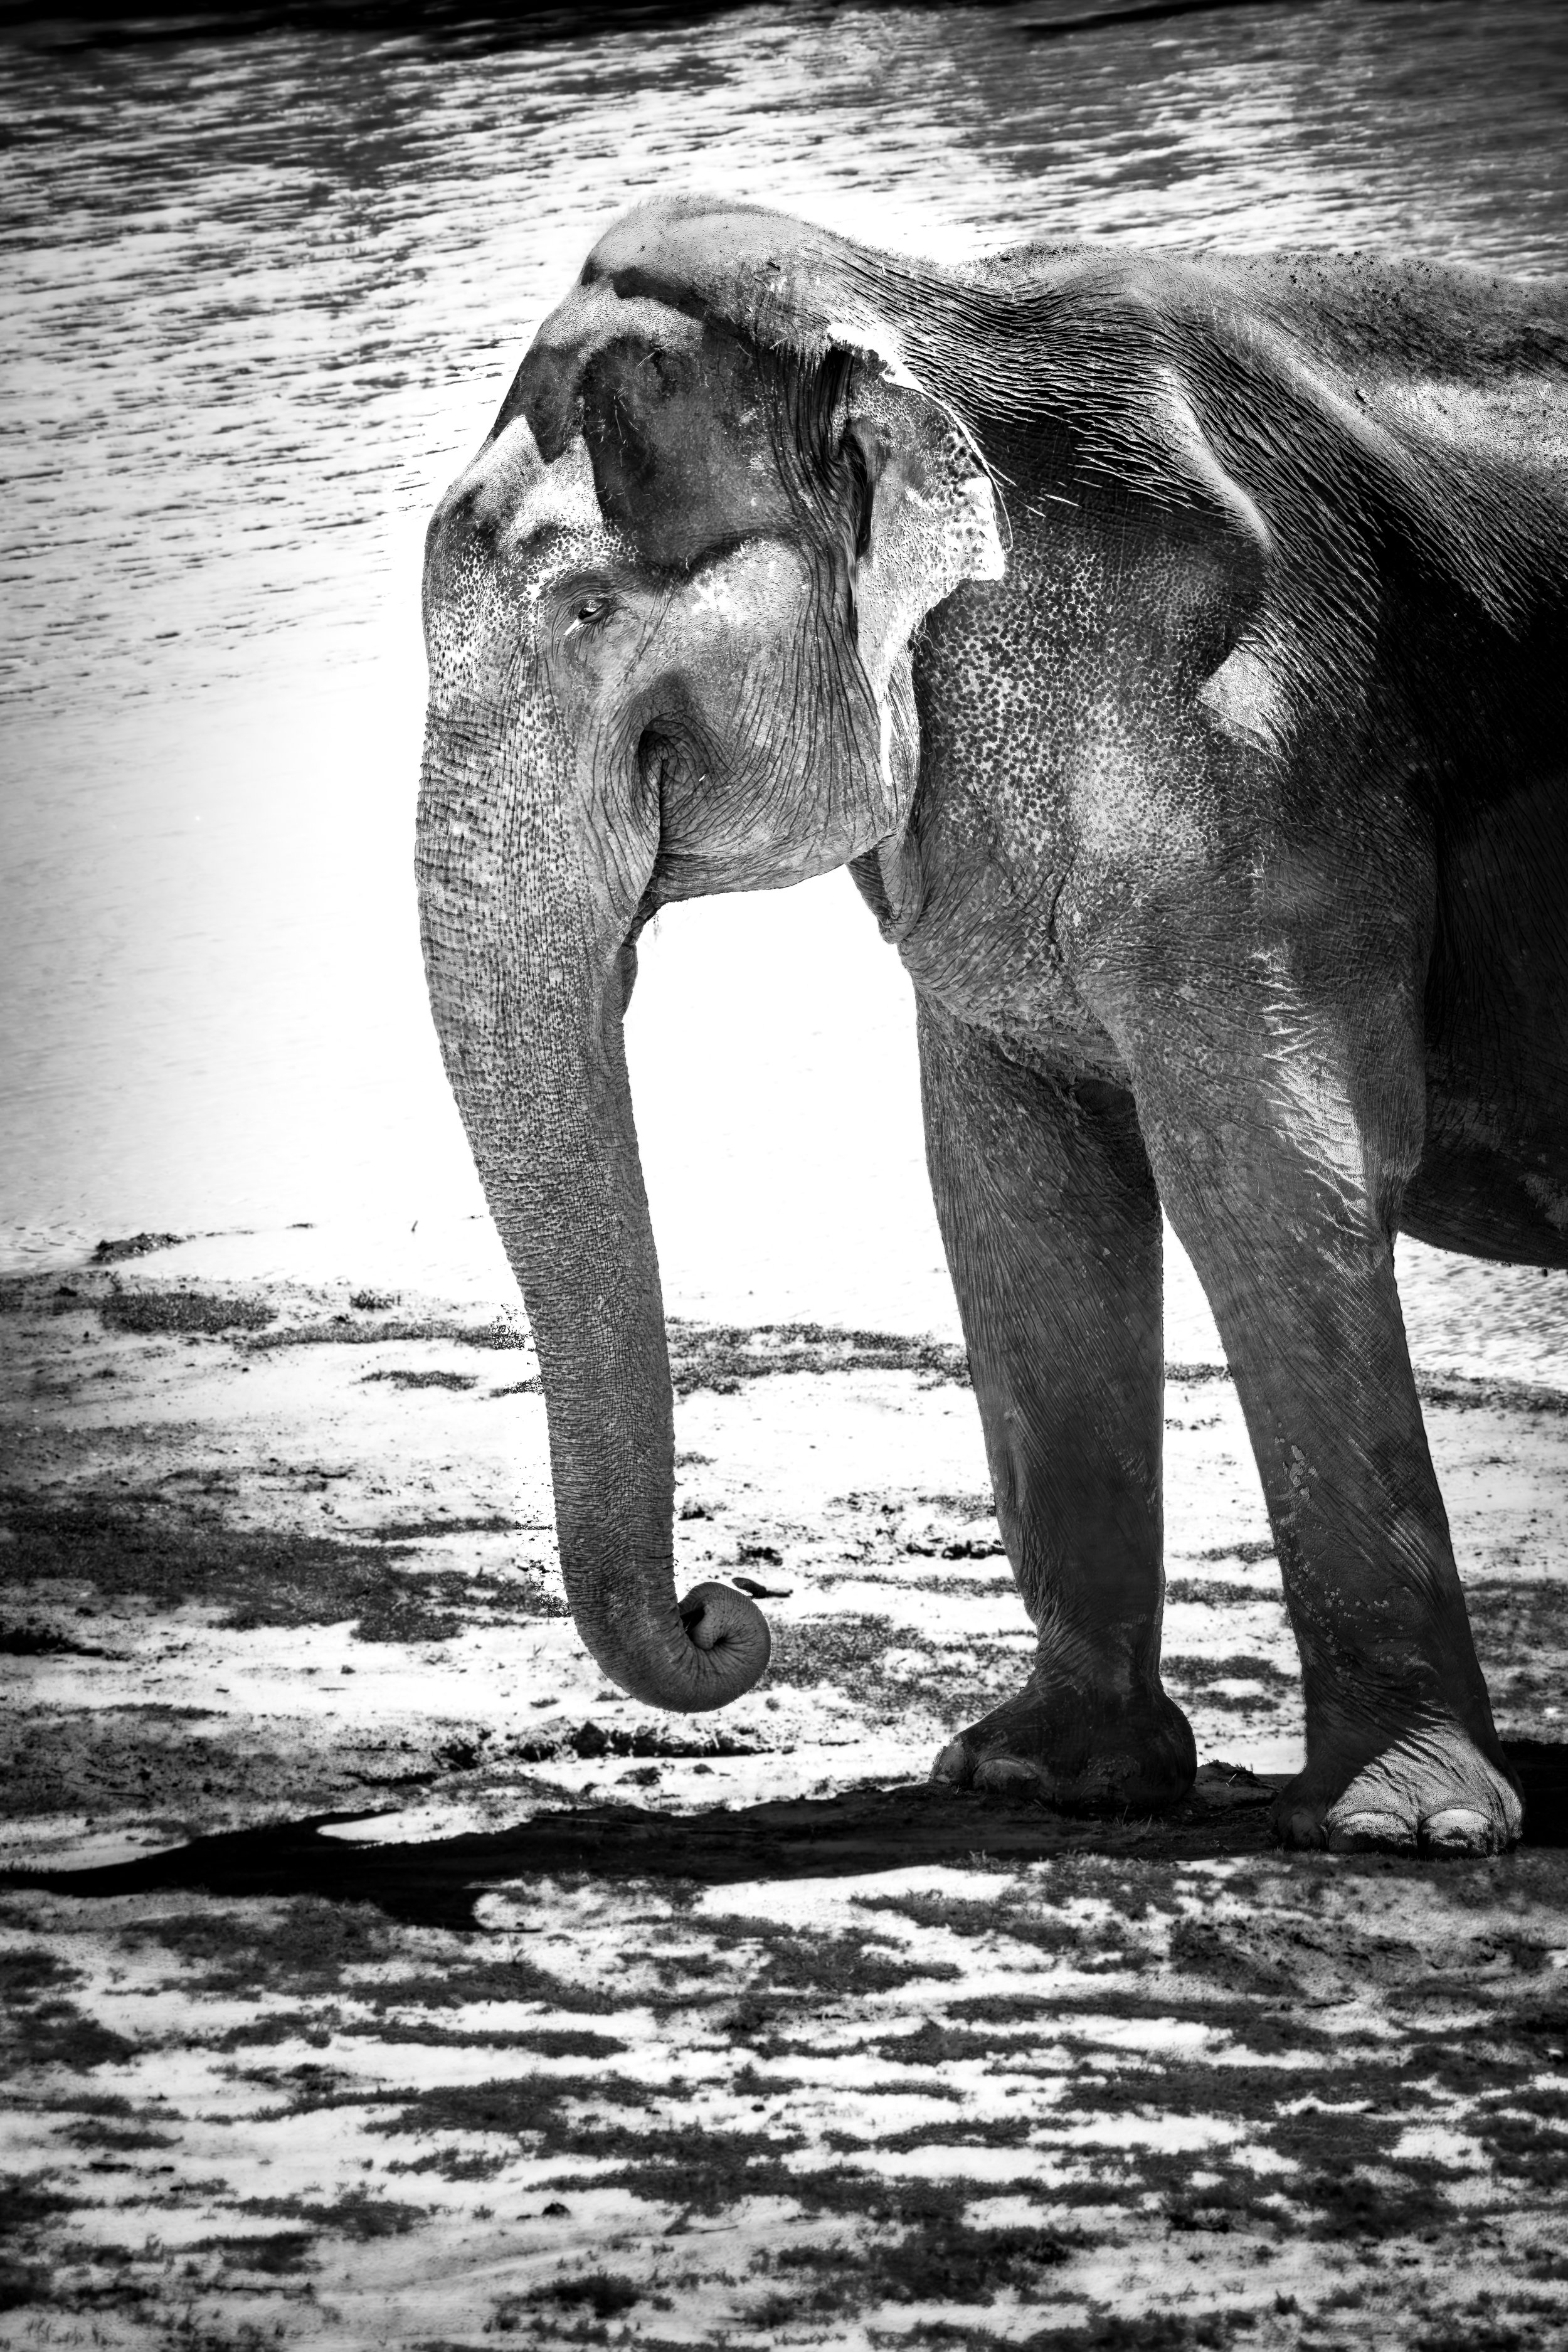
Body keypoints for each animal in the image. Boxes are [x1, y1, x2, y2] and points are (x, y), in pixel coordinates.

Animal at [417, 193, 1568, 1856]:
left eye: (585, 612)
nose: (725, 1611)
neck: (932, 320)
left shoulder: (1259, 752)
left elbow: (1276, 1180)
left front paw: (1395, 1827)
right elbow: (1015, 1195)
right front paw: (1040, 1774)